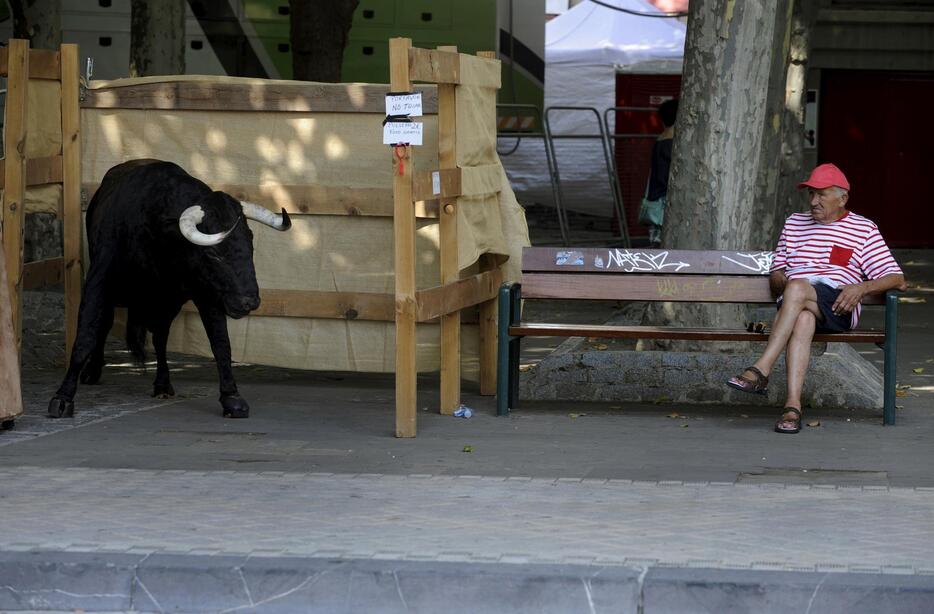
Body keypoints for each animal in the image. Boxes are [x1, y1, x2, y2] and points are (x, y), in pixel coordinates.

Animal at [47, 158, 294, 418]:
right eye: (214, 253)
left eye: (250, 244)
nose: (249, 301)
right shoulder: (99, 281)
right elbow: (86, 335)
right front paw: (63, 396)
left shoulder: (204, 294)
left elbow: (220, 343)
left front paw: (231, 397)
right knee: (104, 325)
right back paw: (93, 371)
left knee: (160, 338)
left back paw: (163, 384)